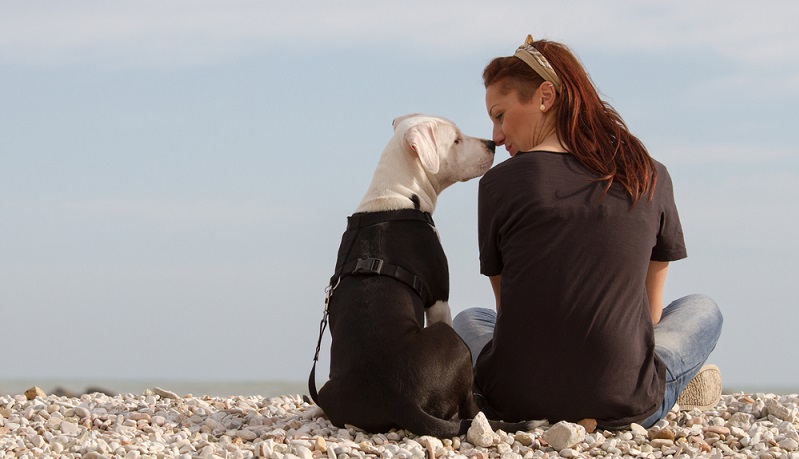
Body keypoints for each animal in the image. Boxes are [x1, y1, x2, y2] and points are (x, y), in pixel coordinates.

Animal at [312, 113, 532, 436]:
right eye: (455, 140)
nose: (492, 143)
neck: (396, 195)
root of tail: (399, 400)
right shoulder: (439, 300)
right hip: (451, 340)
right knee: (469, 404)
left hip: (330, 390)